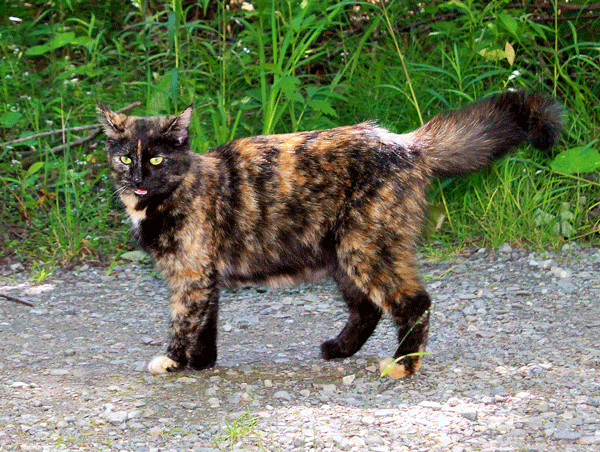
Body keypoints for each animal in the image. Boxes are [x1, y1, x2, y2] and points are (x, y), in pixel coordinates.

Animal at [97, 90, 563, 378]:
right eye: (125, 158)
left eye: (156, 159)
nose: (137, 179)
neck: (169, 195)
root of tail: (408, 144)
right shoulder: (203, 274)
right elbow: (206, 321)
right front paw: (202, 364)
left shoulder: (190, 275)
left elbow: (183, 320)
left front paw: (173, 361)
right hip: (343, 254)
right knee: (369, 309)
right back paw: (340, 350)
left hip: (365, 247)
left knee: (414, 303)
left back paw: (404, 365)